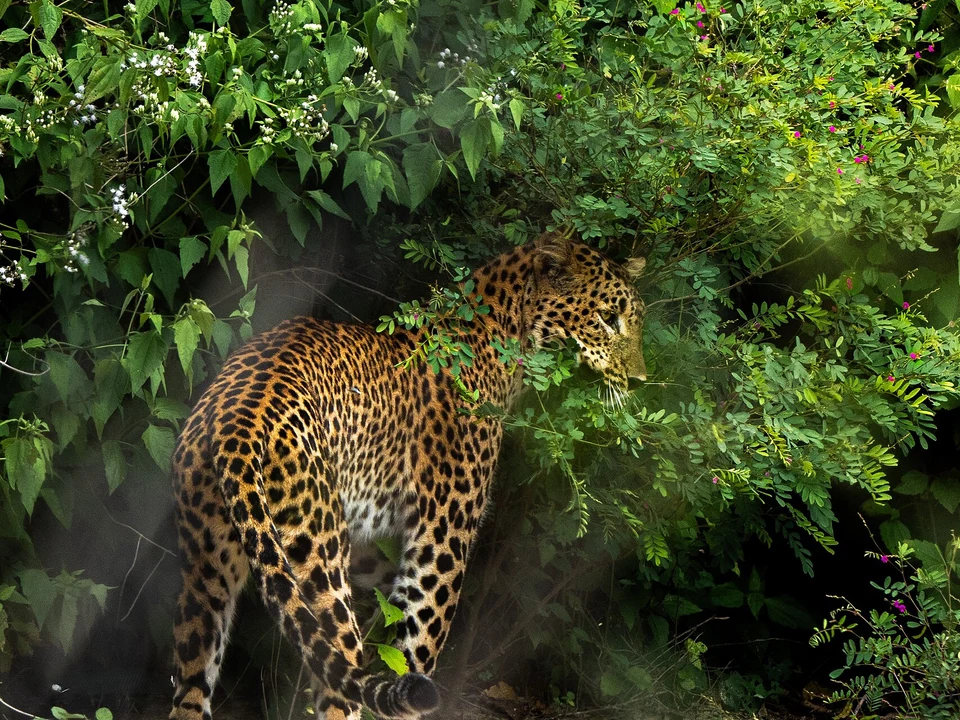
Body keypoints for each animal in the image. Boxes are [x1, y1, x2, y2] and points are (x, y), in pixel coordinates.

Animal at [169, 231, 647, 720]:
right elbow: (414, 652)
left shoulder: (368, 547)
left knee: (191, 688)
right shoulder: (439, 546)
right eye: (607, 319)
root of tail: (236, 419)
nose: (639, 381)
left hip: (207, 577)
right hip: (317, 564)